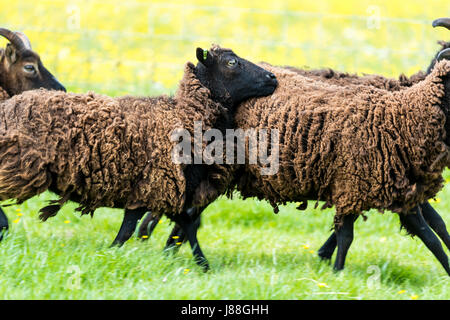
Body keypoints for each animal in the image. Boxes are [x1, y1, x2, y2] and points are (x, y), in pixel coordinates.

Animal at [0, 45, 278, 270]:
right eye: (231, 62)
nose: (272, 78)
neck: (184, 115)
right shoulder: (157, 184)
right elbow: (177, 224)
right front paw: (203, 265)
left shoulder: (149, 190)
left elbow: (143, 228)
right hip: (16, 168)